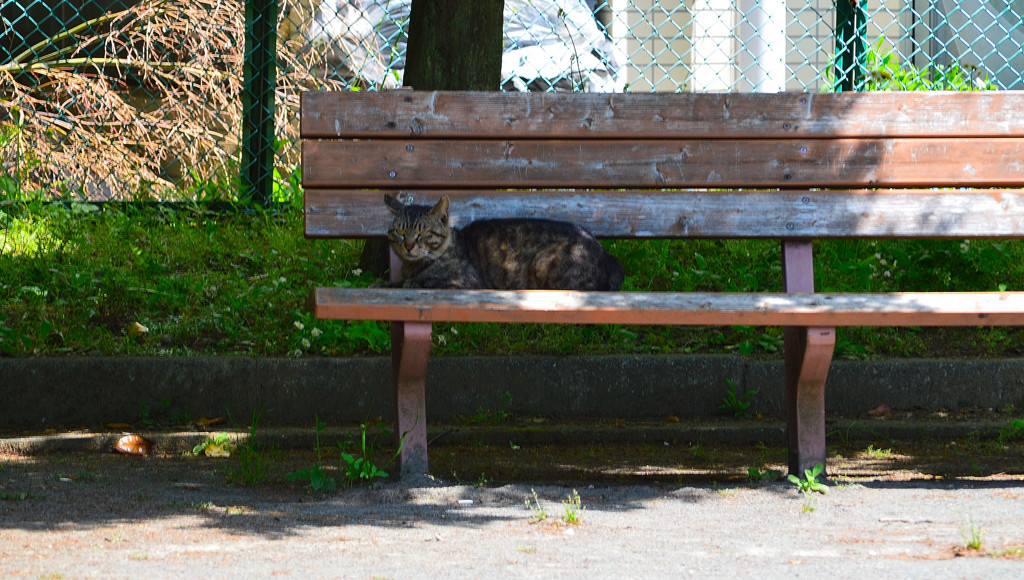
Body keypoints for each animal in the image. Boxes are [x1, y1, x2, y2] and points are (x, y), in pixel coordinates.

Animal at [385, 195, 622, 291]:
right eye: (400, 231)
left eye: (423, 232)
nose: (408, 246)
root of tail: (606, 254)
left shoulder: (467, 282)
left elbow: (423, 283)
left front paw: (411, 282)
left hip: (543, 260)